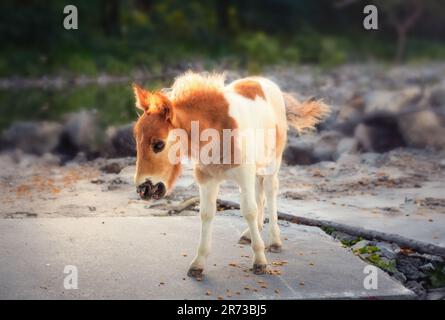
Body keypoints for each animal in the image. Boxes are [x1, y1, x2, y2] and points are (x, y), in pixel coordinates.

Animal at [130, 72, 328, 278]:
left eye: (159, 144)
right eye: (136, 140)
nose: (144, 189)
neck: (218, 130)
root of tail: (267, 82)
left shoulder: (244, 173)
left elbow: (248, 210)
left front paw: (260, 261)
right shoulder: (207, 179)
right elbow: (206, 213)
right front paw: (198, 264)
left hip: (272, 163)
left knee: (270, 192)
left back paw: (274, 241)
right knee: (260, 195)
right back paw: (250, 234)